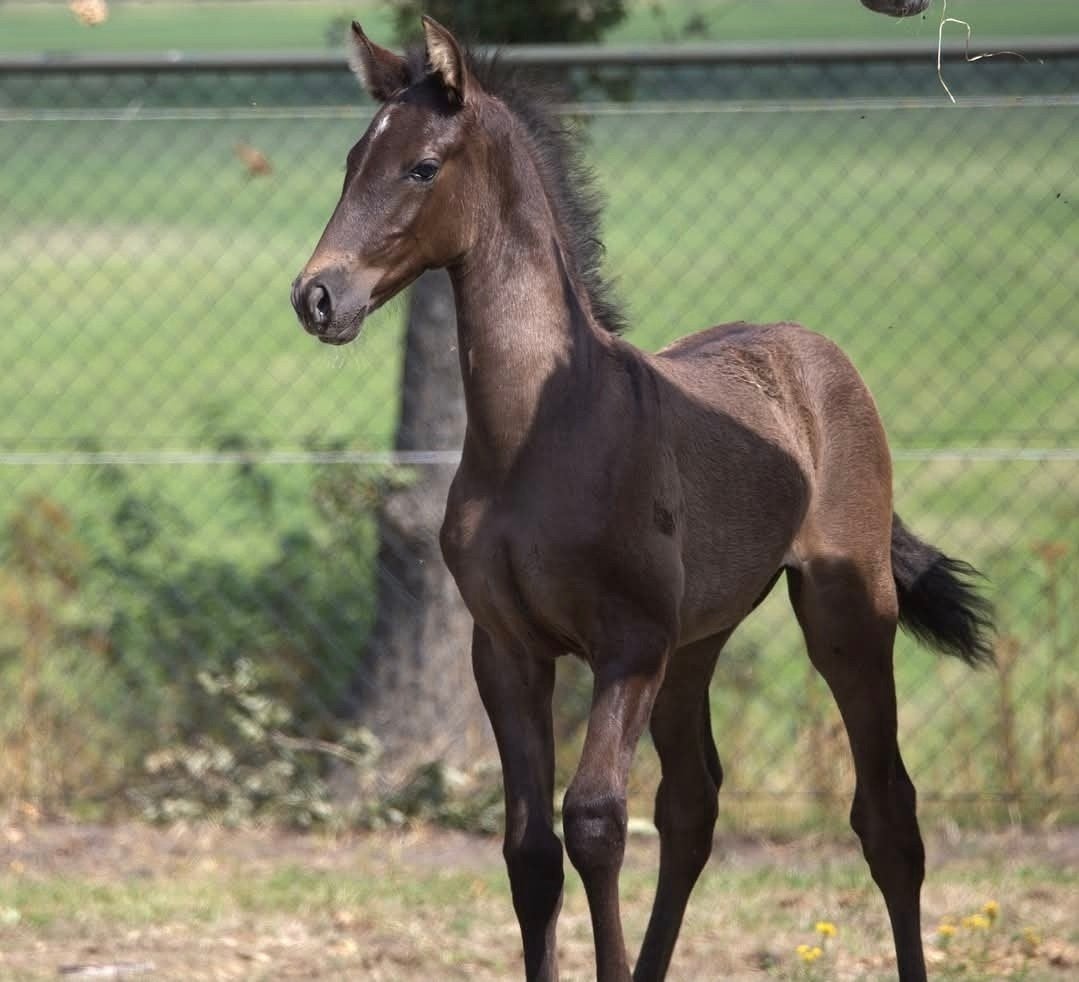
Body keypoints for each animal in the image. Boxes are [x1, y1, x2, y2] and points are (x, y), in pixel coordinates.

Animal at [291, 18, 993, 981]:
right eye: (352, 159)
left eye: (422, 167)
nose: (317, 297)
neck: (541, 431)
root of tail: (816, 353)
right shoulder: (506, 649)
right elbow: (529, 851)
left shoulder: (625, 645)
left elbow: (593, 823)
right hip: (692, 644)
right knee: (693, 805)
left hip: (843, 612)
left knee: (886, 812)